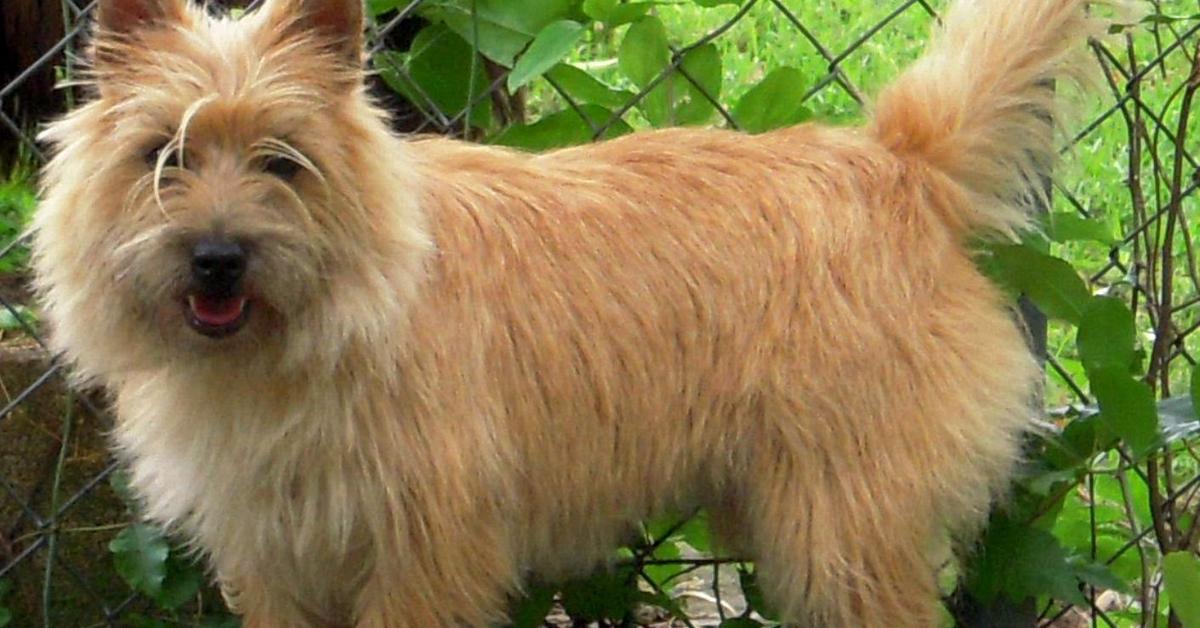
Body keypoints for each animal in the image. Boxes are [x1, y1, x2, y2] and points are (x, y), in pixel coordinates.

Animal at [30, 0, 1113, 624]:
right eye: (163, 156)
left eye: (282, 162)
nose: (217, 258)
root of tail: (894, 161)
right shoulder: (274, 560)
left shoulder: (423, 557)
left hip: (841, 532)